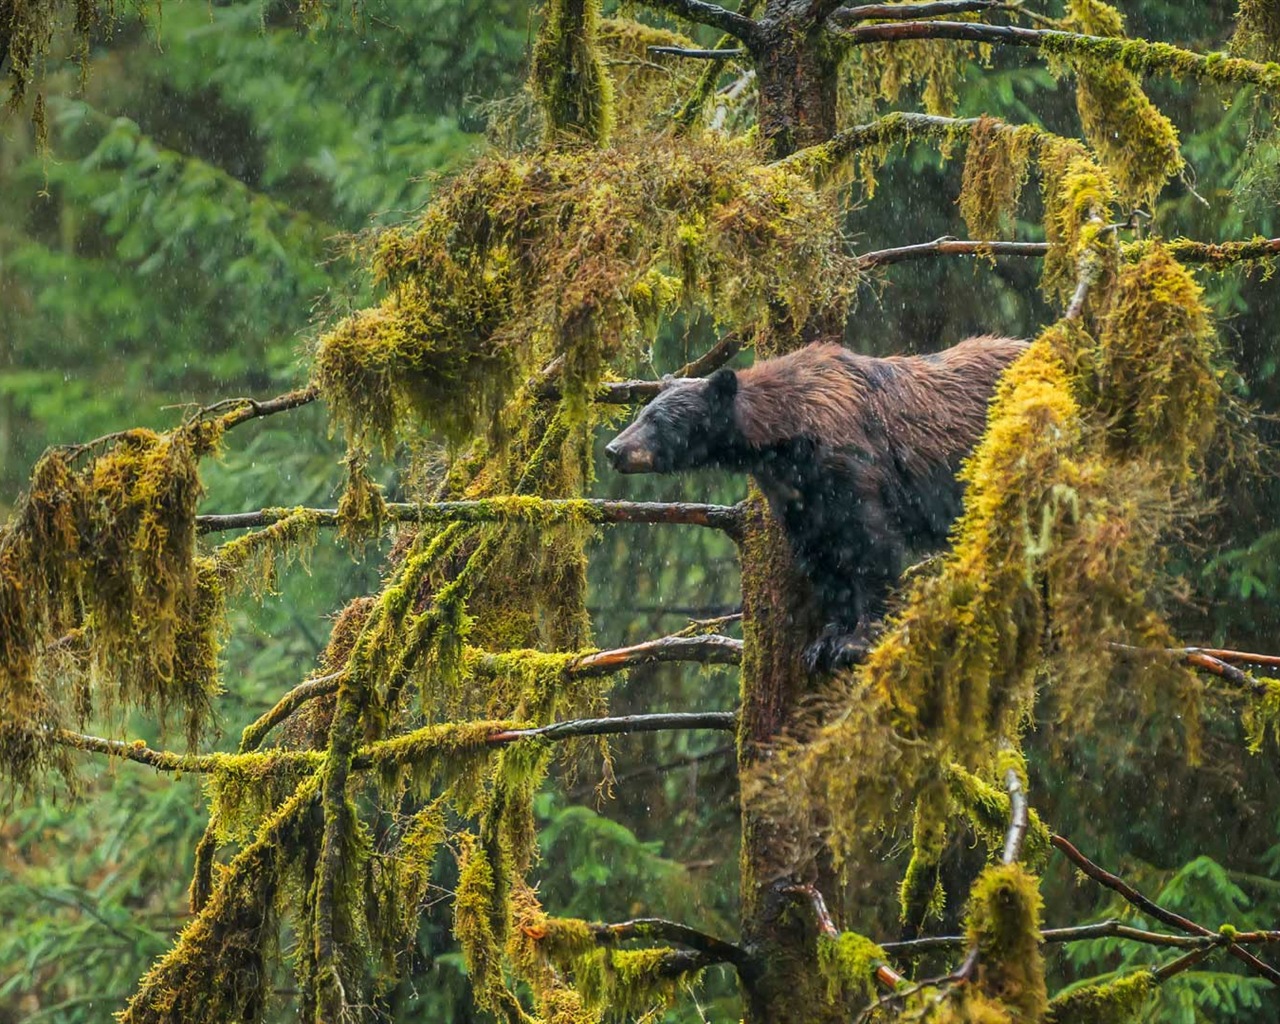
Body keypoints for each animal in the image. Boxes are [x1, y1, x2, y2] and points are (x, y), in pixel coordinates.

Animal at [601, 335, 1029, 670]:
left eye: (657, 420)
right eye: (642, 411)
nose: (613, 450)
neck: (787, 437)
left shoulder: (851, 464)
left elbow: (870, 546)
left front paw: (858, 640)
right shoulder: (799, 496)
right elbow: (823, 559)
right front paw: (825, 642)